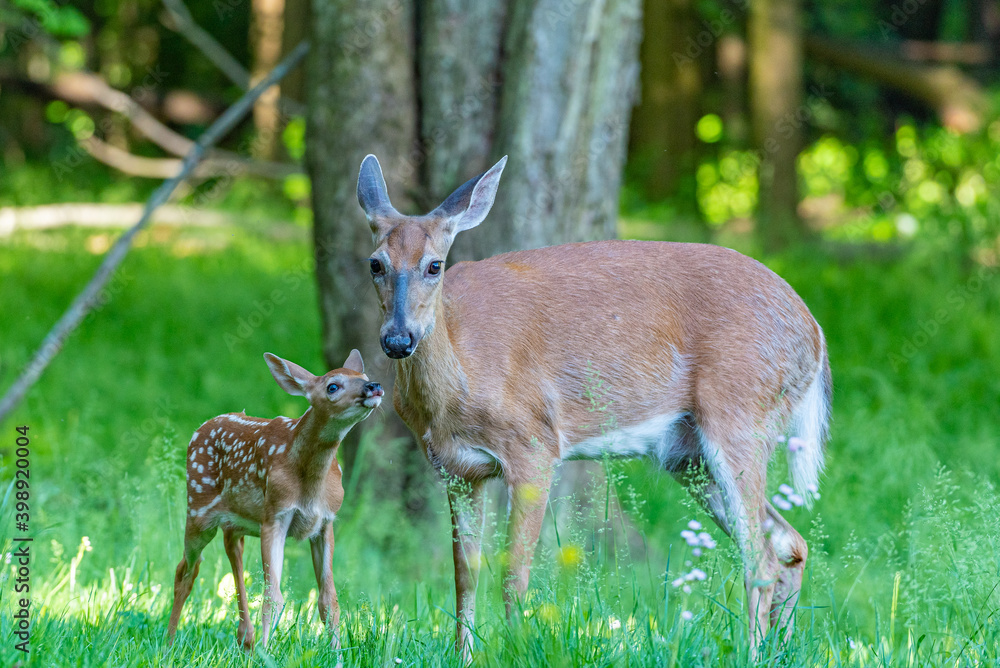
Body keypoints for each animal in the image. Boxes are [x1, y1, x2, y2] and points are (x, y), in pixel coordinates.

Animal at [167, 350, 383, 652]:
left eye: (363, 376)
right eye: (332, 386)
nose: (373, 386)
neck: (310, 486)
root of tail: (201, 427)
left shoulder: (326, 522)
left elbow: (329, 599)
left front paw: (337, 653)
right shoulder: (275, 515)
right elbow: (274, 596)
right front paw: (266, 652)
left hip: (237, 520)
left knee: (232, 549)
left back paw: (245, 638)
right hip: (198, 507)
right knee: (185, 570)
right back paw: (169, 643)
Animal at [356, 154, 831, 658]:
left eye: (434, 265)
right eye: (375, 264)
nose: (398, 339)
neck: (458, 385)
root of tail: (815, 332)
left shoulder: (535, 445)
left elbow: (514, 575)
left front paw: (517, 649)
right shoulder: (457, 470)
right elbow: (465, 575)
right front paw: (464, 657)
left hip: (740, 413)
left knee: (760, 555)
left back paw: (752, 651)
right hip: (688, 455)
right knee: (788, 542)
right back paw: (778, 648)